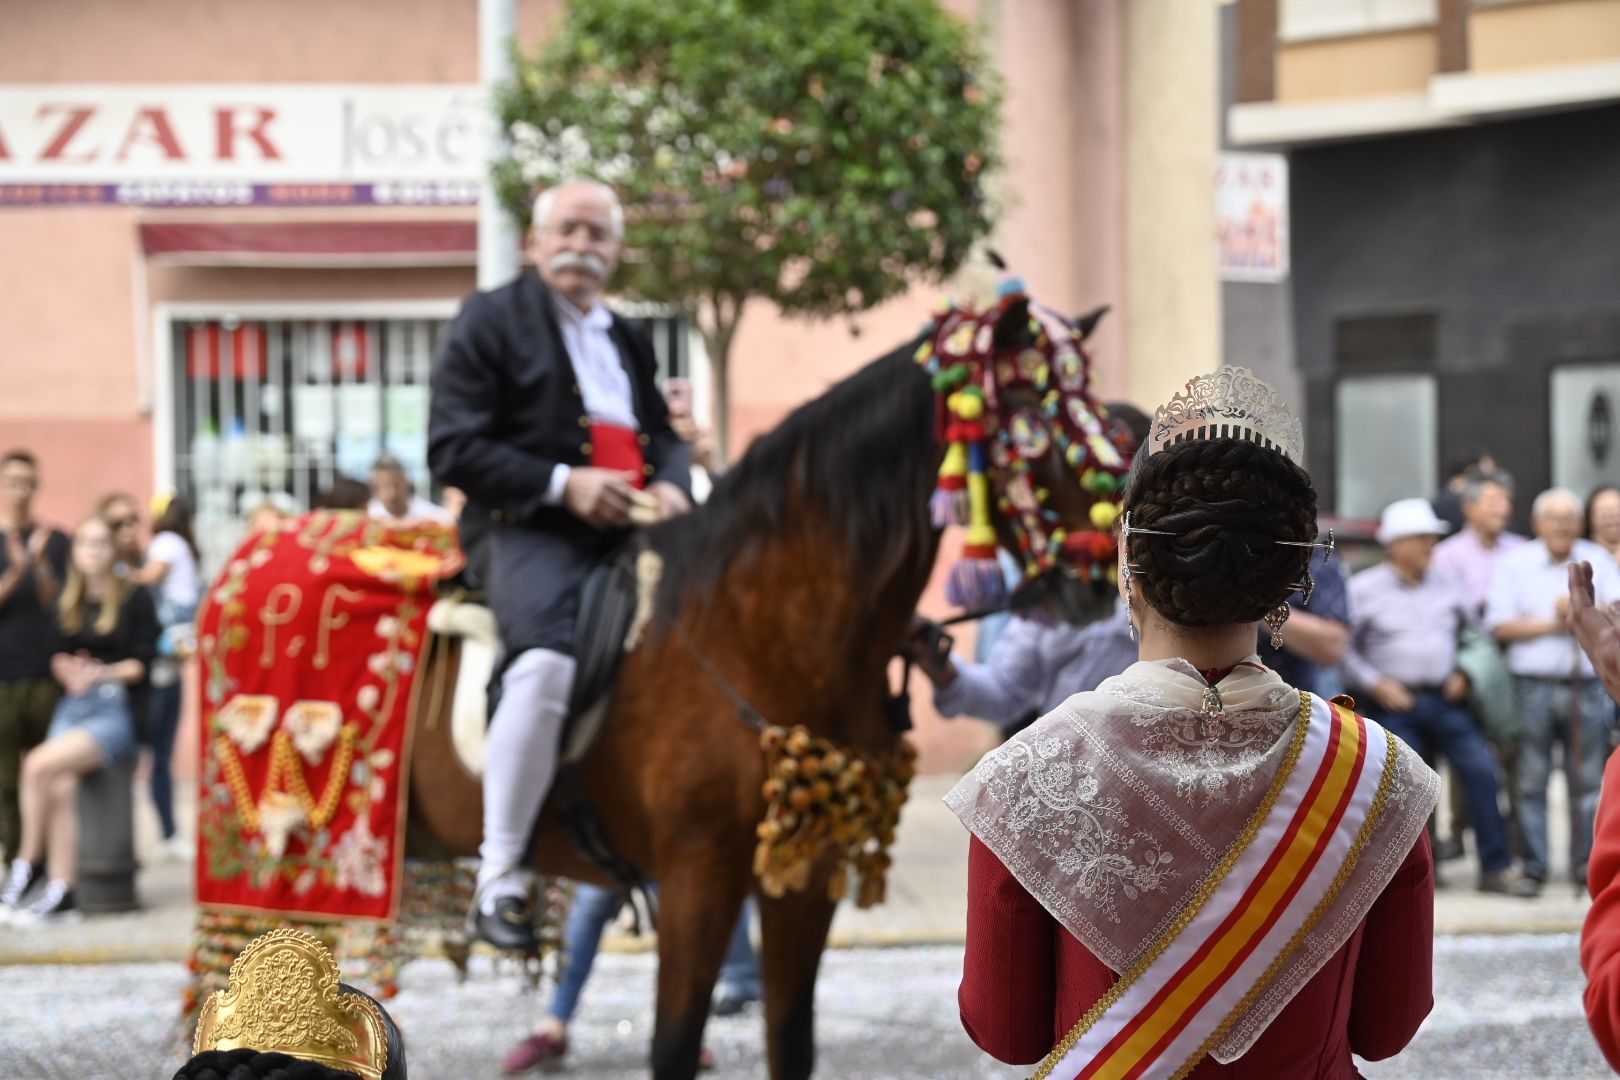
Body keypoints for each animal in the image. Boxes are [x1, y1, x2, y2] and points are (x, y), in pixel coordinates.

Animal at [408, 296, 1114, 1080]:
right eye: (1029, 419)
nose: (1096, 580)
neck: (756, 625)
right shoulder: (698, 880)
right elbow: (674, 1047)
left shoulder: (802, 881)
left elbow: (792, 1042)